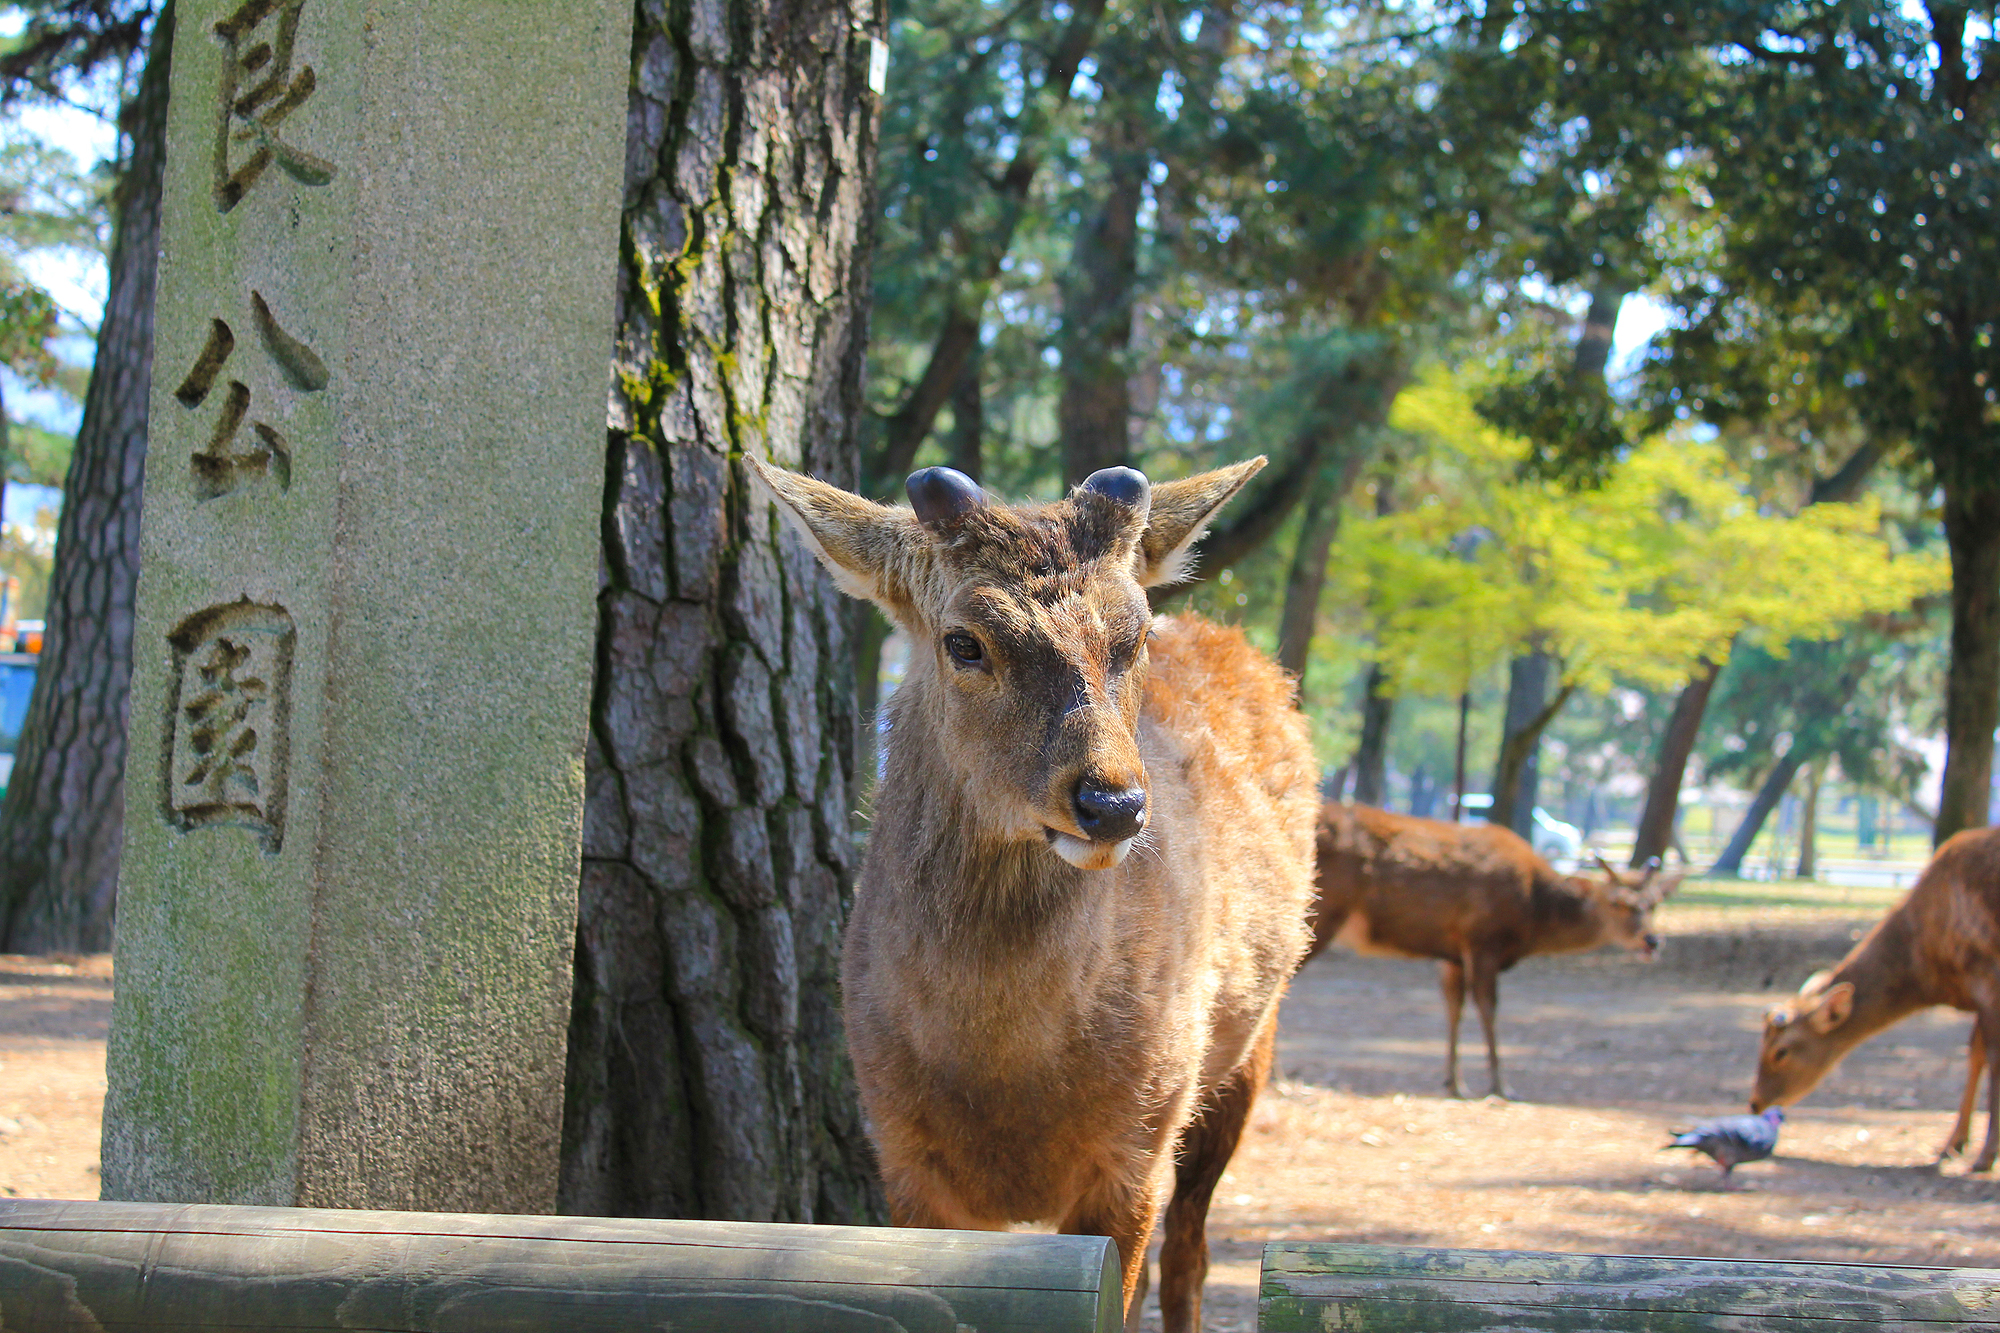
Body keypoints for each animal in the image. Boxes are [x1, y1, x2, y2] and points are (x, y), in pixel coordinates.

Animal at [744, 454, 1320, 1328]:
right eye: (963, 640)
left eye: (1135, 633)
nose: (1113, 802)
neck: (1004, 1082)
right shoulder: (904, 1155)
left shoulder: (1136, 1144)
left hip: (1246, 1052)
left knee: (1191, 1251)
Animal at [1304, 792, 1680, 1096]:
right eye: (1617, 903)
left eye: (1654, 902)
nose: (1652, 940)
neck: (1533, 914)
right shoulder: (1483, 939)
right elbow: (1488, 1007)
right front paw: (1500, 1085)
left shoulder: (1452, 952)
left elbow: (1453, 1007)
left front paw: (1454, 1083)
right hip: (1321, 914)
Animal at [1752, 824, 2000, 1168]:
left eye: (1780, 1051)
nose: (1754, 1102)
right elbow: (1975, 1052)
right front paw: (1952, 1144)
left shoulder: (1987, 976)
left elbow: (1992, 1058)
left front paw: (1985, 1156)